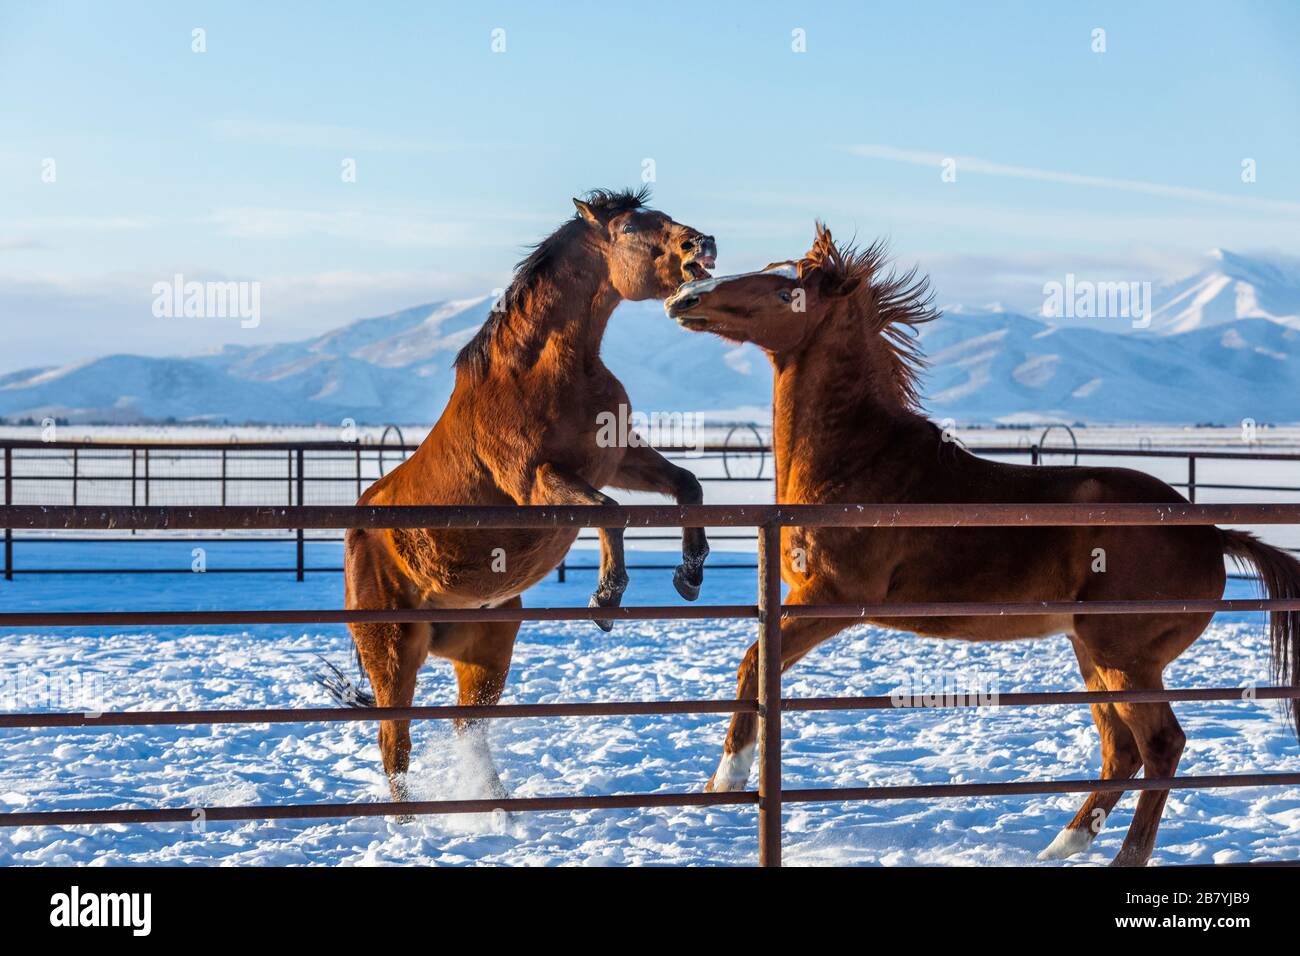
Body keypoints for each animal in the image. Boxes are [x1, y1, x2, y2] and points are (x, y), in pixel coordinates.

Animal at [342, 188, 717, 803]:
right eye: (631, 228)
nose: (702, 245)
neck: (543, 373)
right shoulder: (536, 481)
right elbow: (611, 514)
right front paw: (606, 599)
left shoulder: (619, 458)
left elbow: (687, 483)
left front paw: (689, 573)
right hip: (394, 653)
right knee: (394, 743)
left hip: (487, 651)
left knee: (466, 728)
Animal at [664, 224, 1300, 866]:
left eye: (785, 288)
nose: (684, 296)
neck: (860, 462)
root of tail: (1213, 534)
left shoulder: (831, 599)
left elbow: (753, 663)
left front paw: (729, 779)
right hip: (1092, 653)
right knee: (1121, 750)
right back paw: (1060, 846)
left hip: (1127, 658)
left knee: (1162, 745)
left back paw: (1121, 855)